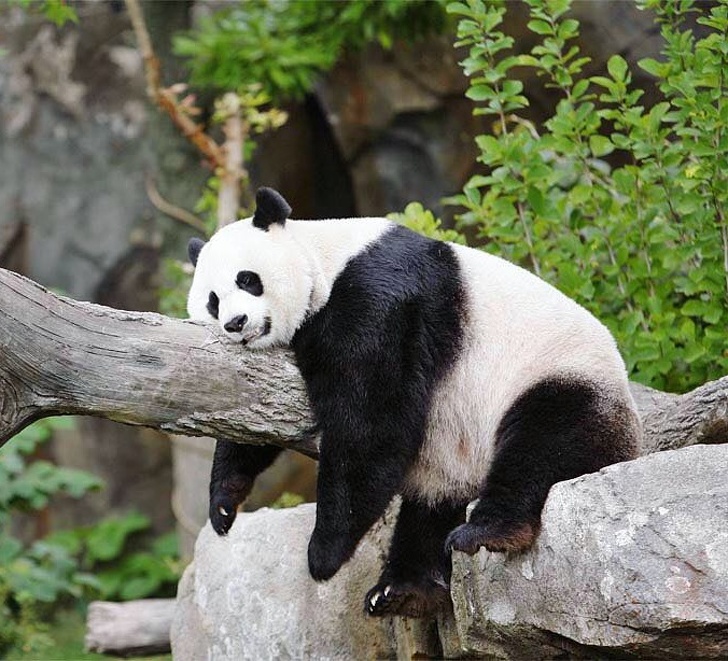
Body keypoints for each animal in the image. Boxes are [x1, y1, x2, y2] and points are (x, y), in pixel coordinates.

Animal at [186, 187, 641, 618]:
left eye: (247, 279)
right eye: (212, 300)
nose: (235, 323)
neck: (324, 258)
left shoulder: (378, 298)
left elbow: (370, 421)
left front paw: (324, 553)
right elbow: (252, 412)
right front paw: (224, 504)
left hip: (559, 377)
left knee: (543, 443)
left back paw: (487, 532)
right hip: (453, 457)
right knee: (431, 507)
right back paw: (403, 589)